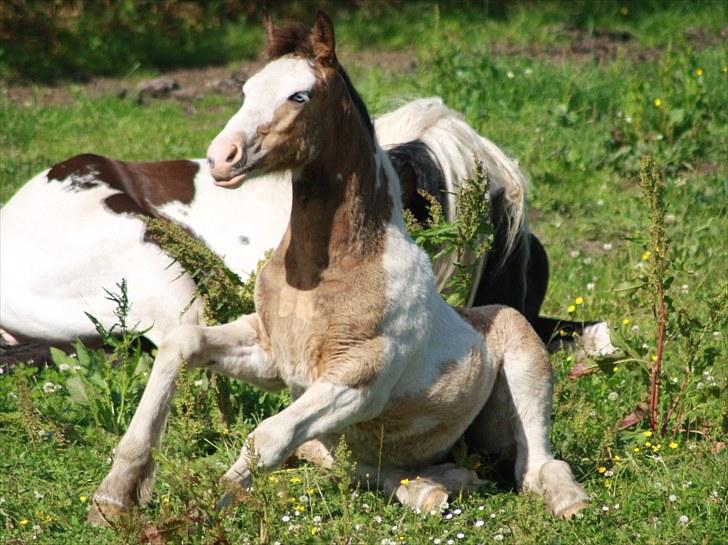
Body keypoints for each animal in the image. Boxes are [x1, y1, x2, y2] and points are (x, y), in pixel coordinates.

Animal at [91, 13, 592, 524]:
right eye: (247, 89)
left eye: (300, 95)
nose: (222, 157)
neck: (331, 272)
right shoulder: (272, 356)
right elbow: (182, 343)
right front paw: (114, 496)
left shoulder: (359, 382)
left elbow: (268, 436)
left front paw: (204, 511)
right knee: (367, 469)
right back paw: (436, 486)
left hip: (525, 363)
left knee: (535, 468)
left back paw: (566, 500)